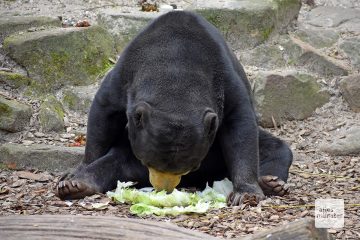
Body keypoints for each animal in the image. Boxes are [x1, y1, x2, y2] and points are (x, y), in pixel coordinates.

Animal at [56, 11, 292, 205]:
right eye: (147, 162)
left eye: (191, 166)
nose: (164, 189)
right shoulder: (124, 75)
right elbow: (104, 114)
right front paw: (74, 172)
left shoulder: (227, 83)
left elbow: (241, 128)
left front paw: (247, 194)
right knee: (115, 161)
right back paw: (75, 185)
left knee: (277, 148)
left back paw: (271, 182)